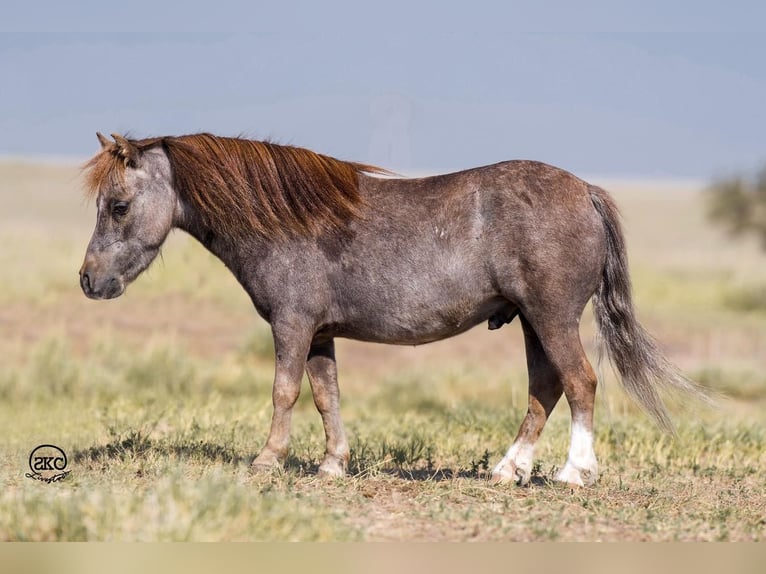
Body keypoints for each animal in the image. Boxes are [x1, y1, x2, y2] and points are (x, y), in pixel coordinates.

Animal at [79, 134, 708, 486]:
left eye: (118, 206)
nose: (88, 280)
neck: (285, 217)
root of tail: (584, 190)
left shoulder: (291, 325)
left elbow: (284, 392)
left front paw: (267, 460)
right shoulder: (319, 333)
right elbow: (326, 396)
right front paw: (333, 464)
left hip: (552, 317)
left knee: (579, 382)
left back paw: (574, 473)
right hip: (532, 321)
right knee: (545, 389)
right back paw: (509, 470)